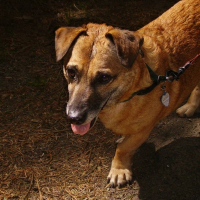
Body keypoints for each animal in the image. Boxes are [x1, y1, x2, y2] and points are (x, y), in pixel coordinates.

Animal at [55, 0, 200, 188]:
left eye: (104, 78)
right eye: (71, 72)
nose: (74, 118)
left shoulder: (143, 129)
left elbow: (123, 149)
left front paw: (119, 170)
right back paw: (190, 106)